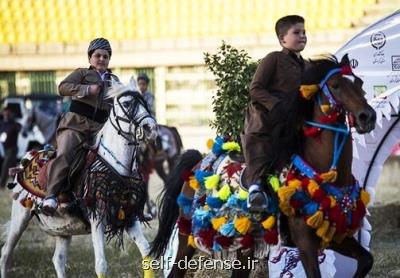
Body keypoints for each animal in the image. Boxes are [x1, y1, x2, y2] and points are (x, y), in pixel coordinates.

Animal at [0, 81, 159, 276]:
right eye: (127, 103)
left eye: (145, 103)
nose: (151, 129)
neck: (118, 167)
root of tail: (27, 158)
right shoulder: (97, 218)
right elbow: (101, 264)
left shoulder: (129, 217)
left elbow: (147, 252)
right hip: (20, 217)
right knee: (5, 254)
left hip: (63, 228)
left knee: (58, 259)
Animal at [149, 54, 376, 278]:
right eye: (336, 85)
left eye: (359, 83)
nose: (368, 116)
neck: (320, 173)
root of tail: (199, 163)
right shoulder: (305, 242)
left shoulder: (333, 233)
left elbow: (366, 260)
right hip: (188, 236)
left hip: (244, 244)